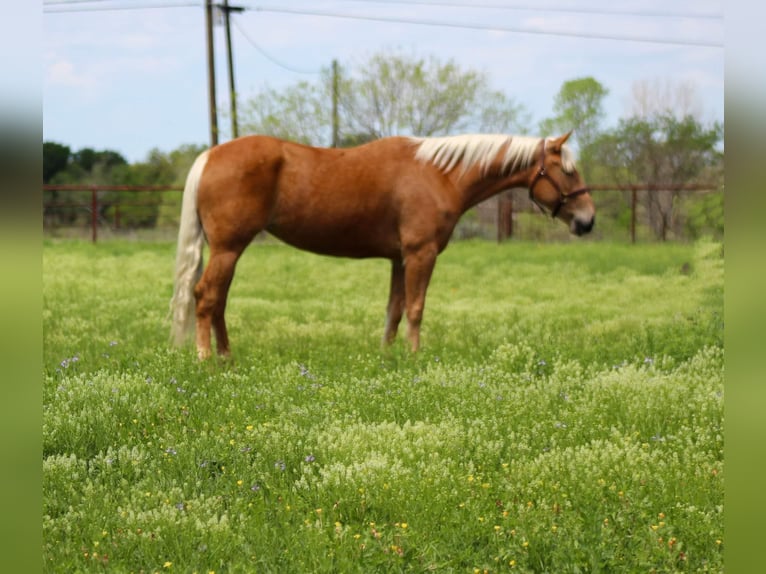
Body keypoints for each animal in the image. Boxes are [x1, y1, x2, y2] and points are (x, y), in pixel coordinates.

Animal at [171, 134, 596, 360]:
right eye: (568, 171)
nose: (587, 220)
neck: (440, 174)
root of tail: (210, 155)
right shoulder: (421, 254)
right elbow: (416, 308)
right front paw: (414, 356)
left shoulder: (398, 259)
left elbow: (394, 309)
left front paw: (388, 355)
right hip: (228, 248)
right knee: (206, 297)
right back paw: (207, 358)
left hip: (228, 251)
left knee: (218, 300)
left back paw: (227, 357)